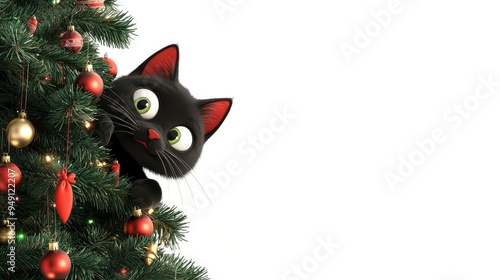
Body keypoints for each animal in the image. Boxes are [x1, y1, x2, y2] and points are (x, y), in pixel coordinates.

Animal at [94, 44, 231, 209]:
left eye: (174, 135)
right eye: (143, 104)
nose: (153, 133)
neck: (123, 153)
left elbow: (156, 187)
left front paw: (145, 193)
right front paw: (101, 125)